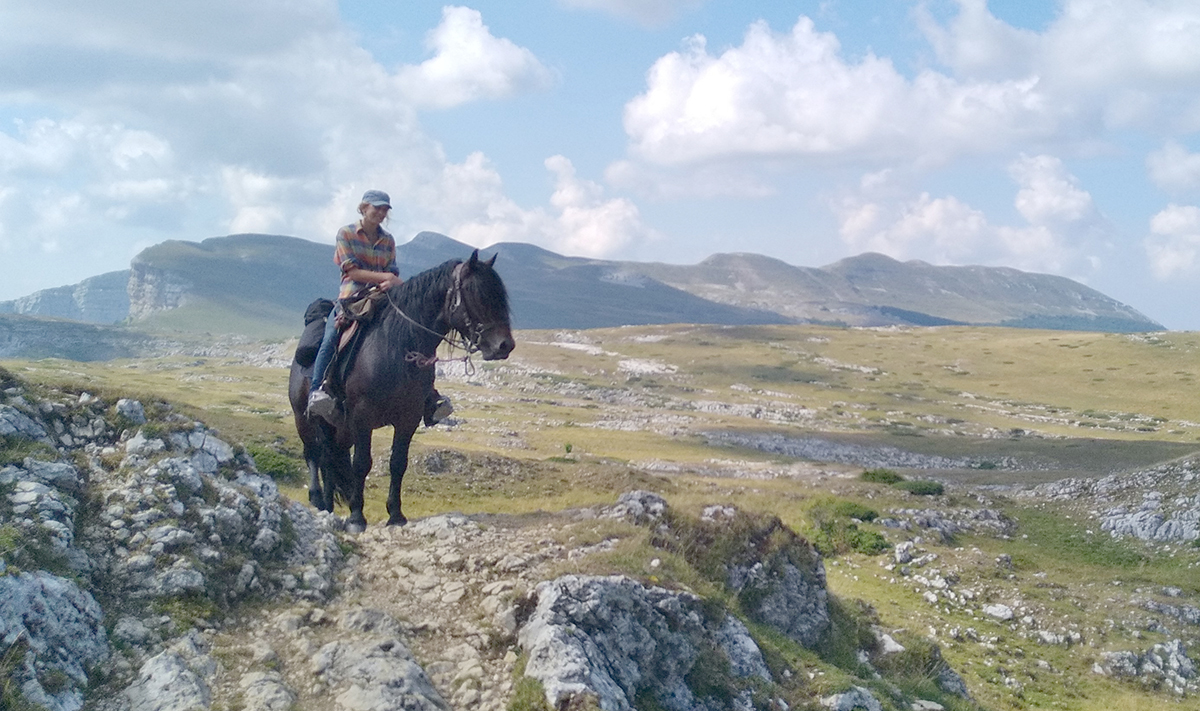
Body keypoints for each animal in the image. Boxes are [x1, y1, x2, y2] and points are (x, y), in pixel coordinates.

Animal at [292, 249, 518, 528]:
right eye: (478, 294)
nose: (504, 345)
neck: (396, 346)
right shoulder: (361, 417)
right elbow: (362, 464)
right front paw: (357, 517)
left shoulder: (408, 417)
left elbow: (398, 463)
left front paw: (396, 515)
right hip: (306, 419)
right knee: (315, 455)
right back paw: (319, 500)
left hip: (339, 428)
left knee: (331, 460)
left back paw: (328, 504)